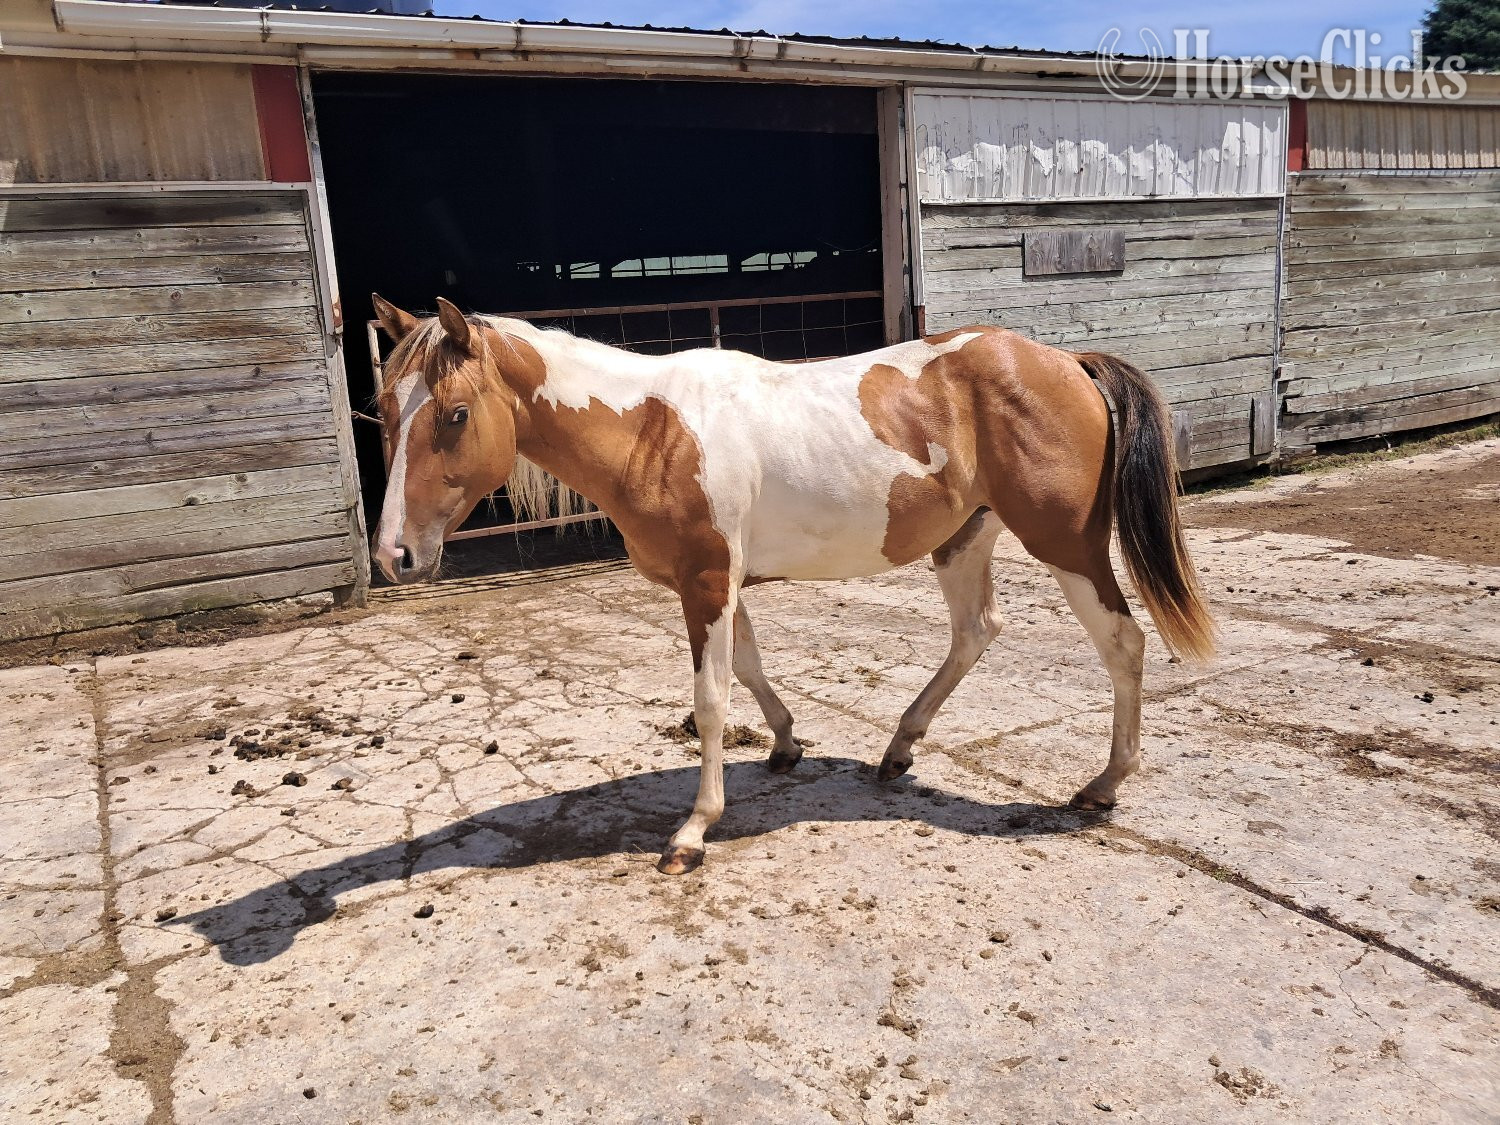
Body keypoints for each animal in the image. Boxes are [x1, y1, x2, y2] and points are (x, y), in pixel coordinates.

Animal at [367, 294, 1215, 874]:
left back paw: (1103, 782)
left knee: (1123, 642)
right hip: (963, 541)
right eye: (383, 408)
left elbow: (711, 701)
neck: (651, 428)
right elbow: (748, 667)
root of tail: (1066, 361)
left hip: (1067, 545)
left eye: (454, 413)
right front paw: (784, 742)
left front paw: (693, 830)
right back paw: (898, 749)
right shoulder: (721, 581)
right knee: (974, 633)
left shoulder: (706, 582)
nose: (394, 555)